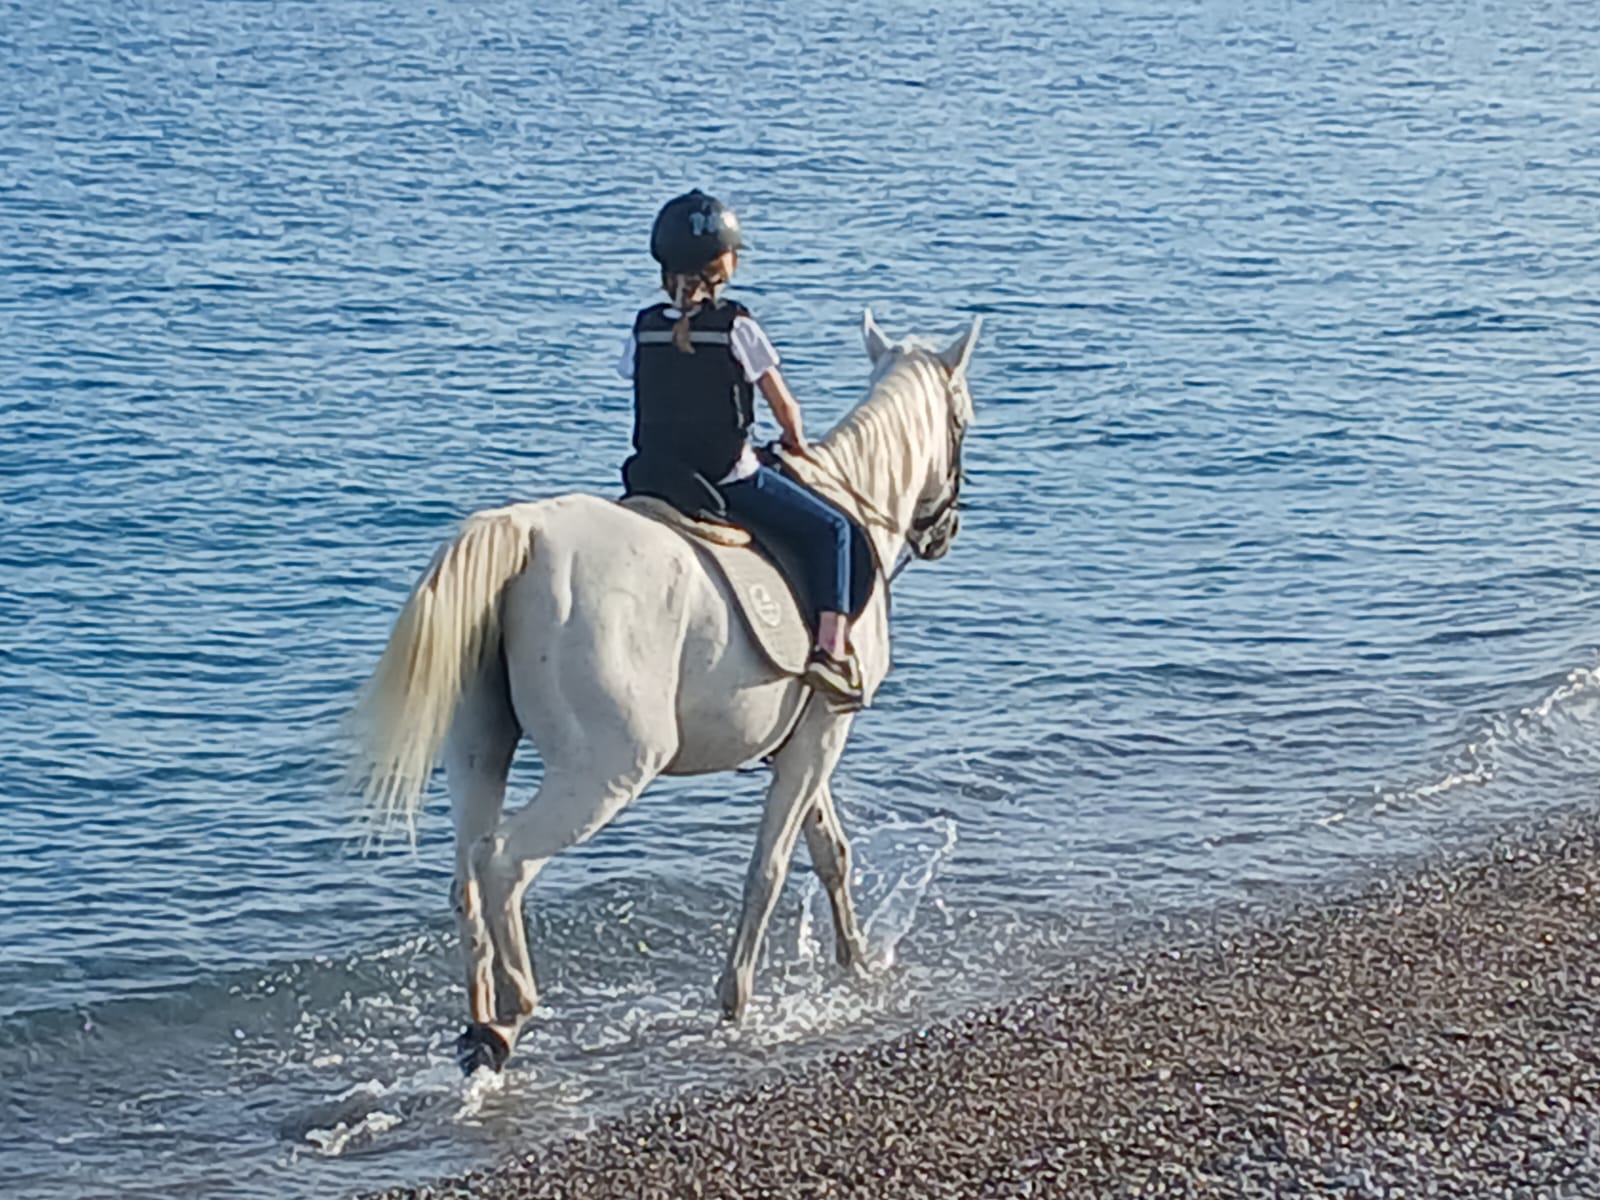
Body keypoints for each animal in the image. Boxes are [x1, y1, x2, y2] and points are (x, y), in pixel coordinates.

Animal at [347, 310, 980, 1073]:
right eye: (964, 418)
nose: (944, 532)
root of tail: (526, 536)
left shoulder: (803, 738)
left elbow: (829, 852)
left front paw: (854, 964)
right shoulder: (826, 731)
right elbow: (769, 868)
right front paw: (737, 999)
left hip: (479, 752)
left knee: (467, 873)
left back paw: (478, 1027)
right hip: (610, 769)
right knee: (504, 863)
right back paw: (512, 1014)